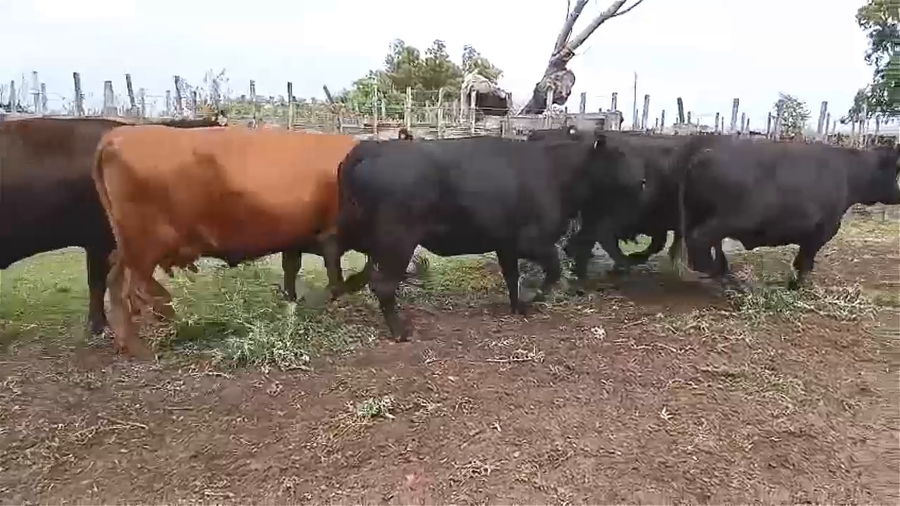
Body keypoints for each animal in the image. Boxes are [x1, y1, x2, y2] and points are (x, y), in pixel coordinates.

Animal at [93, 126, 371, 357]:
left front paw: (292, 305)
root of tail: (117, 135)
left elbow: (293, 271)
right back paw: (143, 344)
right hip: (144, 245)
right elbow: (346, 277)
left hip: (130, 246)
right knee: (133, 289)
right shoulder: (333, 237)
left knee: (117, 281)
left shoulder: (295, 239)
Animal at [335, 130, 648, 340]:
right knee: (383, 284)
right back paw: (400, 331)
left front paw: (518, 306)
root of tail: (373, 147)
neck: (555, 172)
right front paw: (534, 302)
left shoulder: (506, 244)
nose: (643, 180)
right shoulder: (533, 241)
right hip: (397, 241)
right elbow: (554, 270)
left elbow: (512, 276)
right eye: (619, 154)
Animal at [670, 135, 900, 288]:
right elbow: (804, 262)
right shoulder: (821, 230)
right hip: (726, 219)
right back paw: (731, 283)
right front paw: (799, 286)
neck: (849, 172)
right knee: (699, 241)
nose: (898, 194)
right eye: (896, 170)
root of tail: (703, 151)